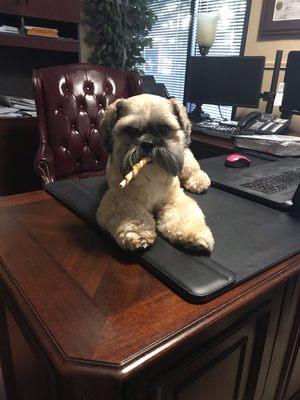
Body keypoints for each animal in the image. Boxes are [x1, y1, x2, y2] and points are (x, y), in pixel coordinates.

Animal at [96, 93, 213, 253]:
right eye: (131, 131)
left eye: (164, 129)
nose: (148, 143)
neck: (150, 177)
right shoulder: (117, 199)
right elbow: (132, 214)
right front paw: (137, 232)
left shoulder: (175, 199)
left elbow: (183, 217)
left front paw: (192, 233)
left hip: (187, 162)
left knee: (194, 171)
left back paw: (198, 181)